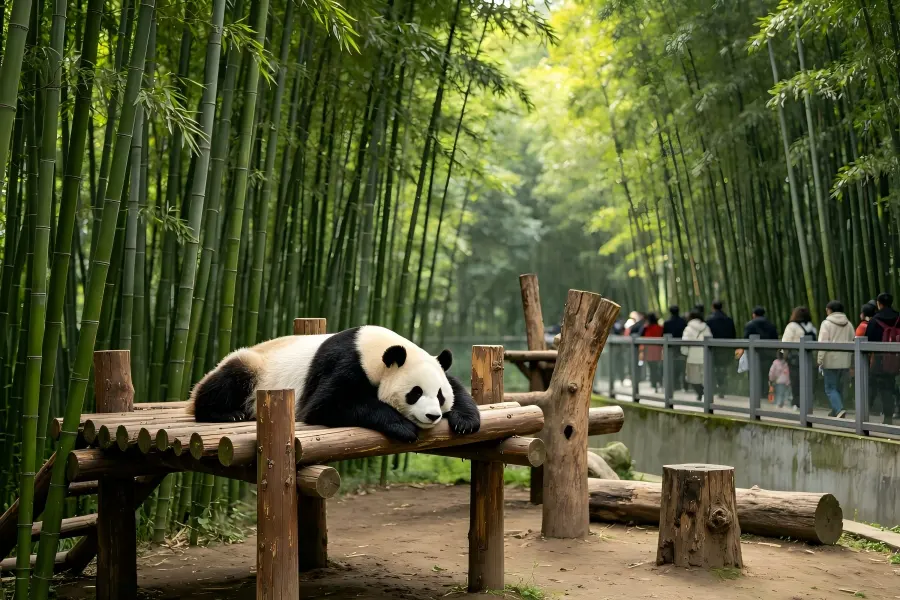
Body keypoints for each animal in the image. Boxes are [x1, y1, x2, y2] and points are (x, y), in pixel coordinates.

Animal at [187, 325, 481, 443]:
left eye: (440, 395)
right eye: (415, 393)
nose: (433, 416)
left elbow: (458, 386)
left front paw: (465, 421)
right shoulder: (345, 363)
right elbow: (327, 405)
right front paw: (403, 427)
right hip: (255, 367)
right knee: (227, 381)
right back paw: (227, 413)